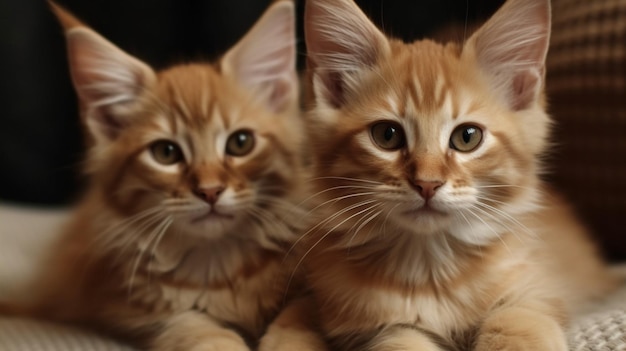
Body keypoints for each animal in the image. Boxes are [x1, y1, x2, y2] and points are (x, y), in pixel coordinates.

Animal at [1, 2, 326, 351]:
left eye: (241, 143)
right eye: (166, 153)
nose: (210, 191)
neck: (217, 260)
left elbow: (301, 313)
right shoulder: (129, 306)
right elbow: (193, 327)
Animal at [300, 0, 616, 350]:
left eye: (467, 137)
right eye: (386, 135)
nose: (427, 184)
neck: (430, 270)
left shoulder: (536, 290)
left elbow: (517, 321)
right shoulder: (377, 329)